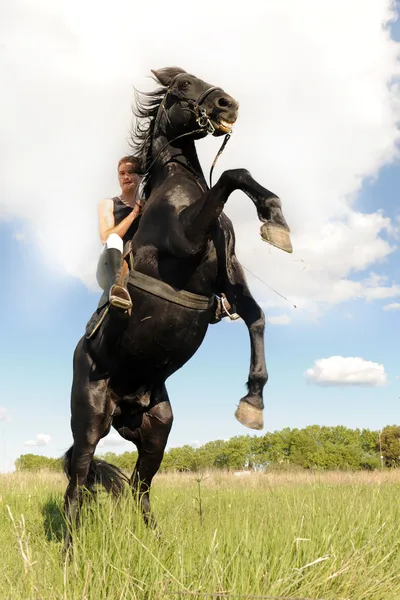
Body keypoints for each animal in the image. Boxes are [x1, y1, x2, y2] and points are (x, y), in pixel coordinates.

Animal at [62, 67, 290, 544]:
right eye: (184, 84)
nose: (227, 104)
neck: (177, 187)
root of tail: (123, 407)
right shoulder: (186, 238)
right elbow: (232, 175)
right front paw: (275, 219)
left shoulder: (228, 278)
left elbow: (256, 316)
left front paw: (253, 401)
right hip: (89, 423)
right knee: (76, 486)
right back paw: (70, 553)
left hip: (156, 430)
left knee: (139, 488)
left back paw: (155, 543)